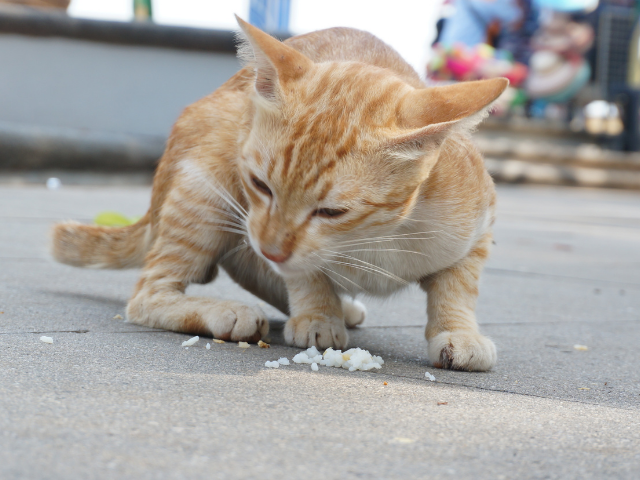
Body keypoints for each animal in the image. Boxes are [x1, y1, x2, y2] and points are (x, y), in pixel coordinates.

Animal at [52, 16, 508, 372]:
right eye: (259, 185)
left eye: (331, 211)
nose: (272, 247)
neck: (368, 240)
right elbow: (303, 273)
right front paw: (318, 312)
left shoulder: (479, 224)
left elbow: (458, 285)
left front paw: (458, 331)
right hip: (207, 180)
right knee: (149, 294)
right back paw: (227, 311)